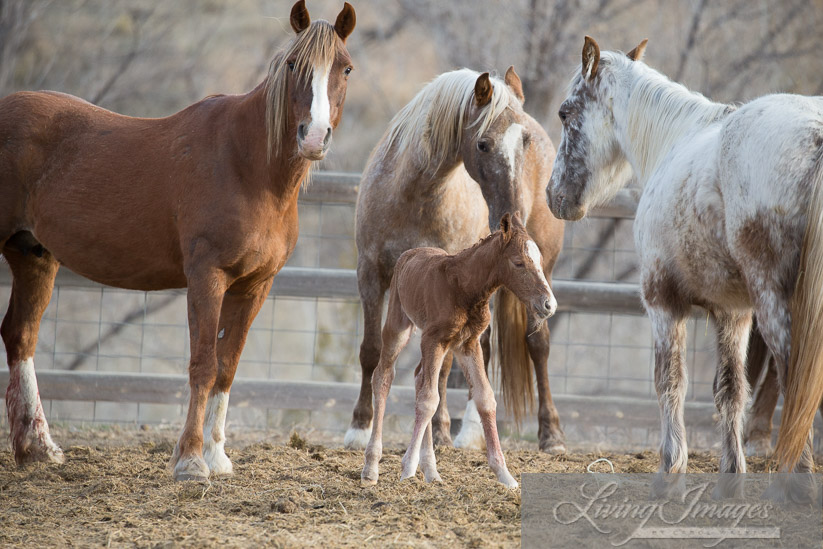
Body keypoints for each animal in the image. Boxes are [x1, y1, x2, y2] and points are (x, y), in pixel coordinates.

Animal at [3, 0, 358, 480]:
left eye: (346, 68)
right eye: (292, 65)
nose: (314, 136)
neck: (247, 166)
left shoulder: (254, 286)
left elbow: (227, 366)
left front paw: (218, 456)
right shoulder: (207, 276)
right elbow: (203, 364)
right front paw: (190, 460)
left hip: (33, 254)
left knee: (21, 336)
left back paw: (39, 449)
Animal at [346, 68, 568, 454]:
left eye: (524, 141)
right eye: (483, 144)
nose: (514, 215)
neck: (415, 195)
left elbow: (444, 366)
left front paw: (438, 432)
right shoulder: (370, 274)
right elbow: (371, 350)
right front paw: (359, 428)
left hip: (543, 273)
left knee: (537, 346)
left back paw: (549, 434)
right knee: (484, 348)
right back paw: (472, 432)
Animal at [358, 212, 552, 486]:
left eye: (540, 261)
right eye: (518, 263)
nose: (548, 304)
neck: (464, 287)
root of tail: (411, 252)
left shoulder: (468, 344)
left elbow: (484, 398)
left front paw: (505, 475)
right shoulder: (434, 339)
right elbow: (429, 400)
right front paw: (407, 468)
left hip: (441, 346)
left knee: (419, 377)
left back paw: (431, 471)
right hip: (399, 326)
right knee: (383, 376)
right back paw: (371, 467)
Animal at [548, 35, 823, 496]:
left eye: (565, 113)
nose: (554, 197)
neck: (675, 140)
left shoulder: (663, 303)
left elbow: (670, 382)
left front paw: (670, 472)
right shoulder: (733, 313)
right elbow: (731, 391)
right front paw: (731, 480)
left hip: (778, 305)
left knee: (795, 381)